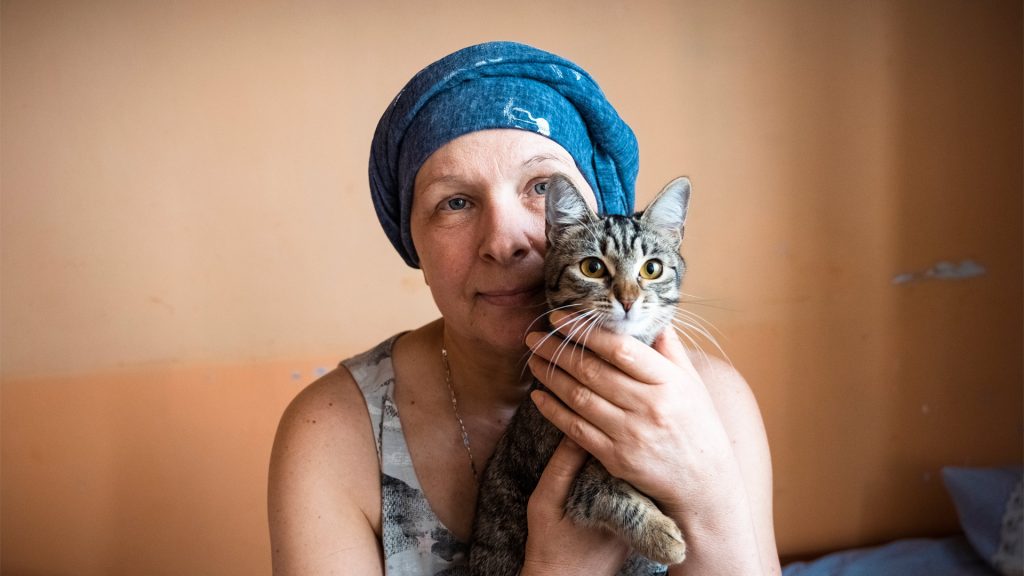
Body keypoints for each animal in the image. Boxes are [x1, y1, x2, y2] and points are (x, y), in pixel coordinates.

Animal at [468, 171, 692, 573]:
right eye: (592, 267)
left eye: (652, 268)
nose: (628, 299)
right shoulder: (557, 477)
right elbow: (606, 490)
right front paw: (661, 534)